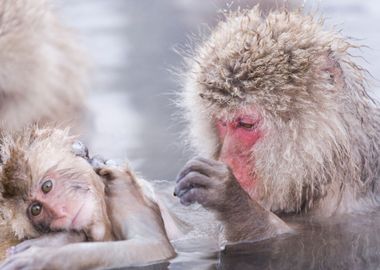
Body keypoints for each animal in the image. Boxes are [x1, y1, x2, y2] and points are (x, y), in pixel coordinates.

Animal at [0, 127, 181, 268]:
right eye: (36, 209)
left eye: (47, 186)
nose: (60, 212)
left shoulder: (123, 188)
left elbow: (153, 246)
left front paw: (40, 257)